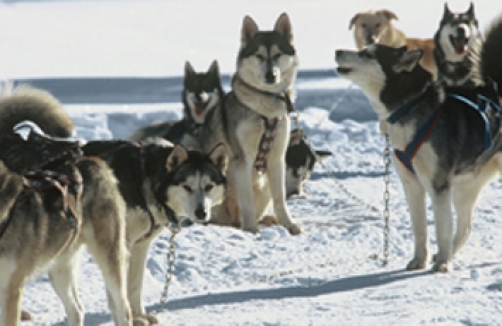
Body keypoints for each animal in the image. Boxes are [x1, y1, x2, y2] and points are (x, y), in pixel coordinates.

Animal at [0, 86, 133, 326]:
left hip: (108, 257)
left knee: (122, 309)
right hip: (60, 266)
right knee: (77, 309)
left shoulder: (11, 289)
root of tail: (91, 158)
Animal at [83, 137, 227, 324]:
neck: (142, 179)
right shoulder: (118, 246)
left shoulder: (140, 246)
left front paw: (139, 316)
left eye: (209, 186)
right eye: (187, 187)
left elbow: (135, 286)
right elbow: (118, 293)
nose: (201, 213)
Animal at [200, 12, 302, 234]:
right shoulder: (242, 160)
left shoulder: (277, 159)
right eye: (259, 56)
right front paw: (251, 230)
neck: (266, 111)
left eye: (278, 55)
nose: (271, 75)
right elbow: (246, 202)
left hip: (264, 188)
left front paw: (289, 225)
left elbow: (280, 199)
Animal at [336, 11, 502, 272]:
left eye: (367, 54)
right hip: (465, 186)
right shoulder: (412, 185)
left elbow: (442, 228)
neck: (410, 105)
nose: (337, 51)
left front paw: (443, 264)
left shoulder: (438, 184)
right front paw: (420, 260)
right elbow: (420, 229)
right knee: (465, 228)